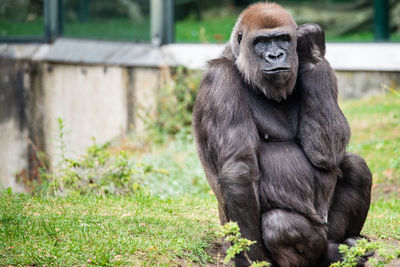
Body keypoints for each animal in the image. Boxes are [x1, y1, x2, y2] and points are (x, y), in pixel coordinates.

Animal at [193, 2, 372, 267]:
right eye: (262, 42)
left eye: (283, 40)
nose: (275, 55)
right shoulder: (219, 81)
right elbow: (239, 168)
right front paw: (252, 258)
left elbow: (328, 152)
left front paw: (312, 47)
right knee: (280, 224)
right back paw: (332, 254)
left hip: (328, 228)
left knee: (355, 166)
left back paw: (347, 244)